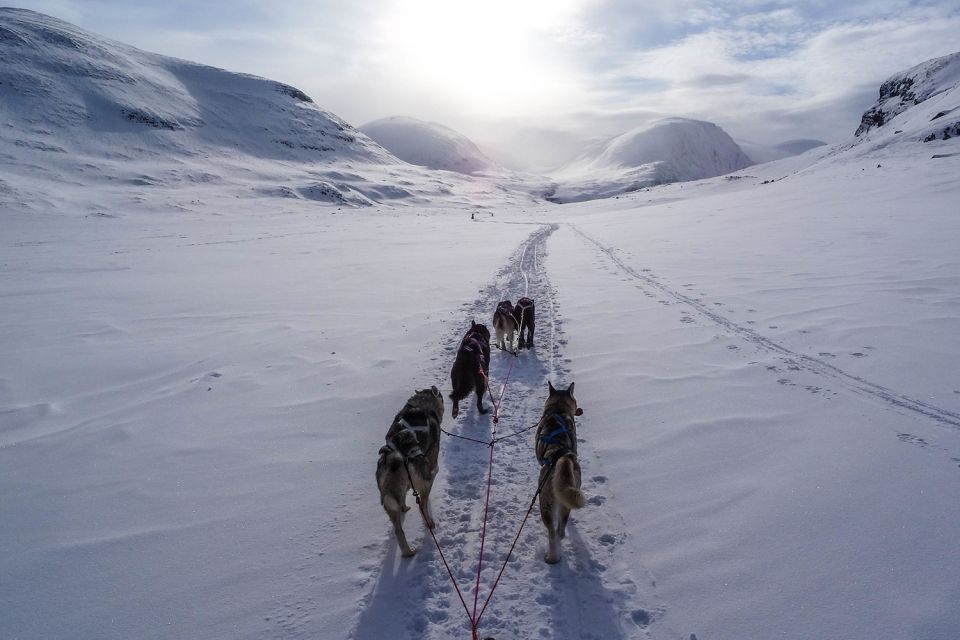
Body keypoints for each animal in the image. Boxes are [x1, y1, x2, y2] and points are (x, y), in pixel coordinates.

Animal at [378, 384, 446, 556]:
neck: (422, 404)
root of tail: (395, 457)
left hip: (389, 499)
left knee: (398, 530)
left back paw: (408, 551)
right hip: (425, 482)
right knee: (422, 506)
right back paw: (429, 523)